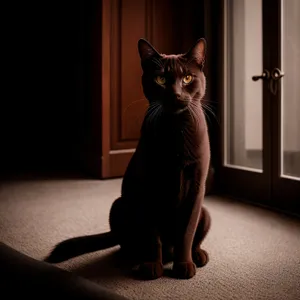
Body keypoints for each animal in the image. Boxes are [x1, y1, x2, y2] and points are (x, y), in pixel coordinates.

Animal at [45, 38, 212, 280]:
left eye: (187, 78)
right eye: (161, 79)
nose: (175, 94)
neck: (175, 129)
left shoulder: (196, 188)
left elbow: (187, 232)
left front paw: (183, 265)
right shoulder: (147, 188)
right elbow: (152, 235)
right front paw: (151, 266)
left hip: (205, 212)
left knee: (193, 238)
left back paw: (198, 255)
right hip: (119, 205)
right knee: (126, 243)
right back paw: (134, 259)